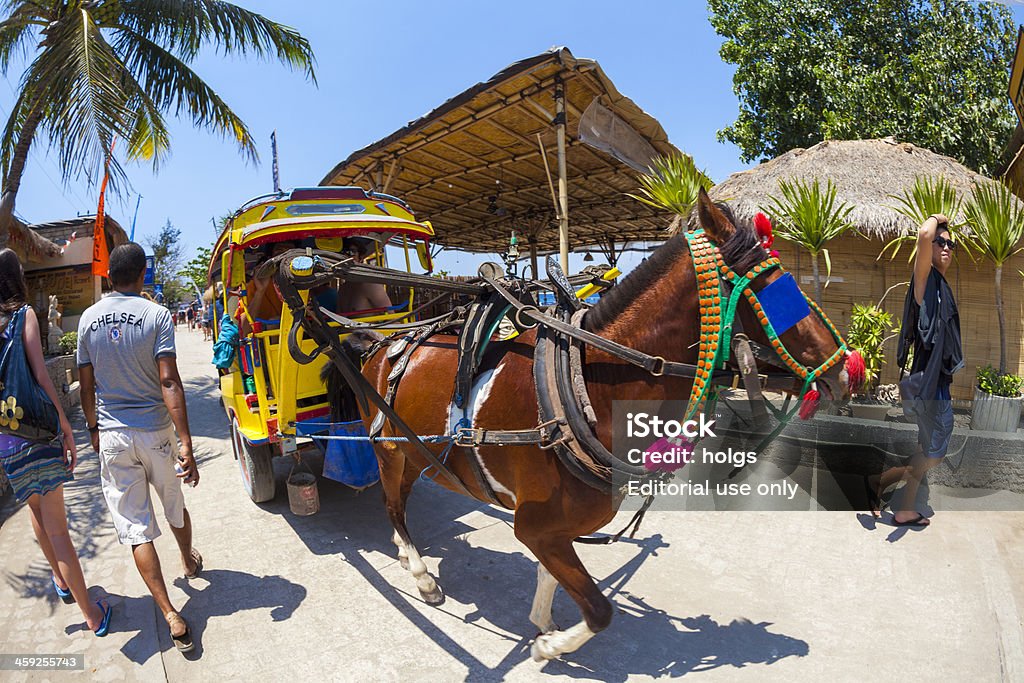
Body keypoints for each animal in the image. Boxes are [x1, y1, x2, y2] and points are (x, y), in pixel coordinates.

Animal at [331, 188, 851, 663]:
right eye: (774, 290)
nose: (849, 371)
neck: (579, 390)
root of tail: (379, 341)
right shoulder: (534, 526)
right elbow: (600, 611)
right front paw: (549, 646)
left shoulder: (555, 529)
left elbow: (553, 577)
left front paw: (544, 624)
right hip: (388, 448)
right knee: (393, 505)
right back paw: (420, 574)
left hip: (414, 450)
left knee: (403, 497)